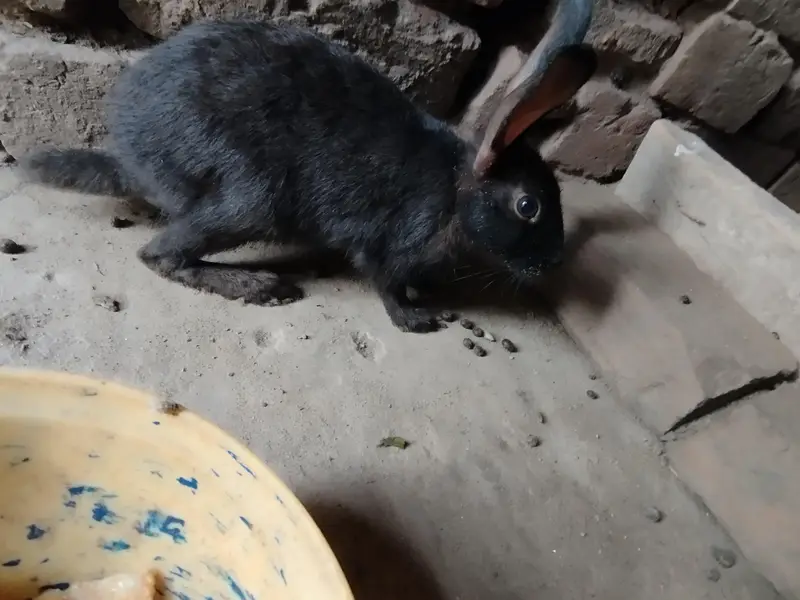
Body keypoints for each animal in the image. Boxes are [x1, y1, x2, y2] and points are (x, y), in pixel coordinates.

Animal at [17, 0, 596, 333]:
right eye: (528, 205)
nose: (553, 264)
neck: (457, 190)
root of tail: (132, 157)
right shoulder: (396, 241)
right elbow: (386, 282)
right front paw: (419, 319)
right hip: (250, 199)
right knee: (160, 254)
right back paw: (259, 287)